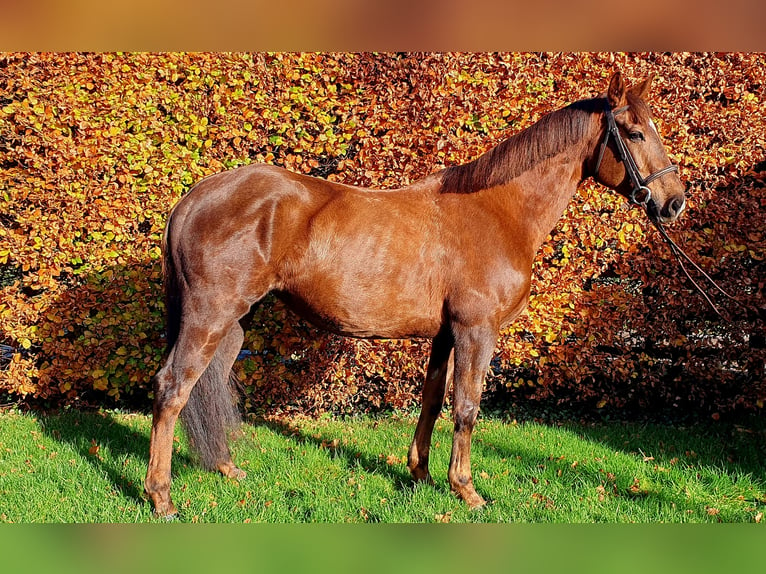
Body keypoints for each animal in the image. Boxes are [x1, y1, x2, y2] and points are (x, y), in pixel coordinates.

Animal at [144, 71, 688, 516]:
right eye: (635, 133)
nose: (675, 202)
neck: (498, 209)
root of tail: (194, 198)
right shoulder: (475, 331)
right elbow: (466, 406)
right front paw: (466, 489)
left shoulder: (445, 334)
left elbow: (431, 399)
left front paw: (421, 474)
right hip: (209, 316)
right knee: (173, 388)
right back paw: (161, 497)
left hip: (232, 324)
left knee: (208, 384)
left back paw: (226, 468)